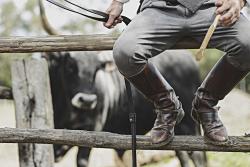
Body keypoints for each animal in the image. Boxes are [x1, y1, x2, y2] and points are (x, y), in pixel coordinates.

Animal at [43, 50, 207, 167]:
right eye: (69, 66)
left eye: (96, 70)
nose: (87, 100)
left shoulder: (93, 127)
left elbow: (81, 160)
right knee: (182, 155)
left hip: (189, 125)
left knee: (198, 156)